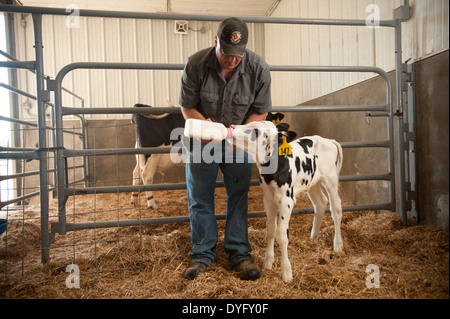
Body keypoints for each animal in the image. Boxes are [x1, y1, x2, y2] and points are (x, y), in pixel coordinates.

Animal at [230, 121, 342, 284]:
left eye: (256, 131)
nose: (231, 127)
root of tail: (326, 140)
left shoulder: (286, 201)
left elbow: (282, 235)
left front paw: (286, 272)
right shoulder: (268, 199)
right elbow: (271, 230)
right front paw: (268, 262)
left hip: (331, 180)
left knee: (336, 209)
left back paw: (338, 245)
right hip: (312, 182)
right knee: (320, 203)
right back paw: (313, 237)